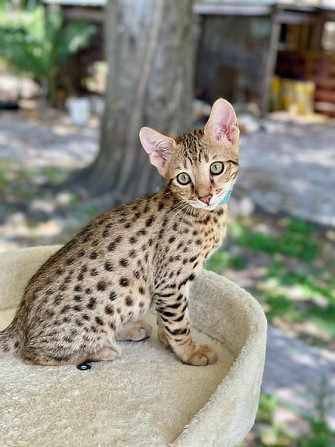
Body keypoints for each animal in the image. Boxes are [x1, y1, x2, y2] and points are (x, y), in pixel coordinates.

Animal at [0, 99, 242, 368]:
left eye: (216, 167)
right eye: (183, 178)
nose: (205, 197)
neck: (204, 214)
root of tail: (20, 319)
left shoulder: (168, 284)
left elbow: (167, 320)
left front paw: (168, 343)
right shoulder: (170, 281)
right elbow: (179, 323)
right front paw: (189, 352)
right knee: (34, 353)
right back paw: (103, 349)